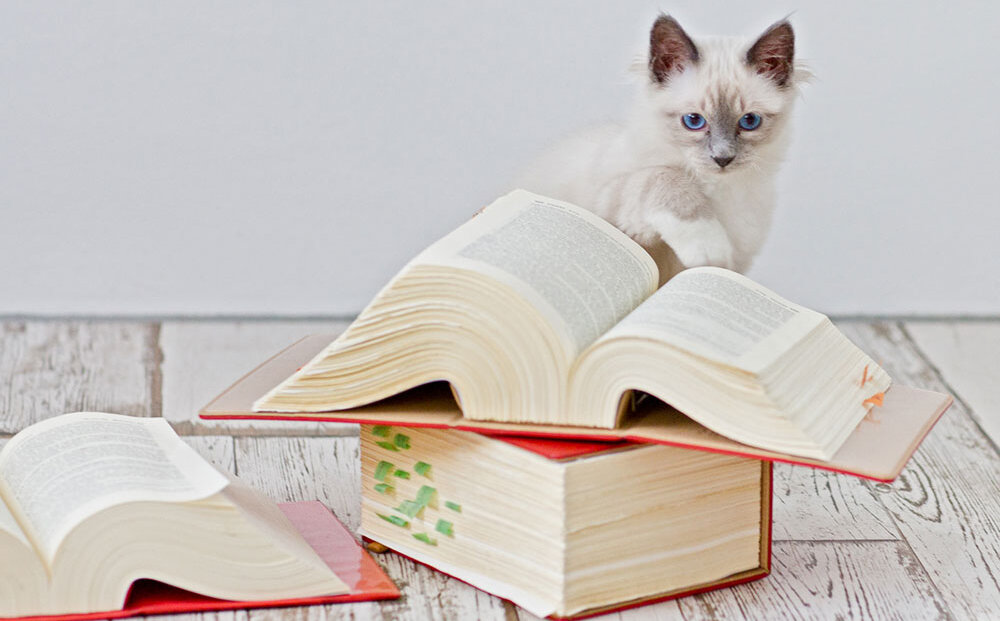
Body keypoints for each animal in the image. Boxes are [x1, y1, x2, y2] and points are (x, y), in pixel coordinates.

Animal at [520, 15, 808, 286]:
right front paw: (707, 248)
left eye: (749, 121)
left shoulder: (739, 259)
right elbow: (664, 177)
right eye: (693, 121)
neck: (713, 190)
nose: (722, 158)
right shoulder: (610, 204)